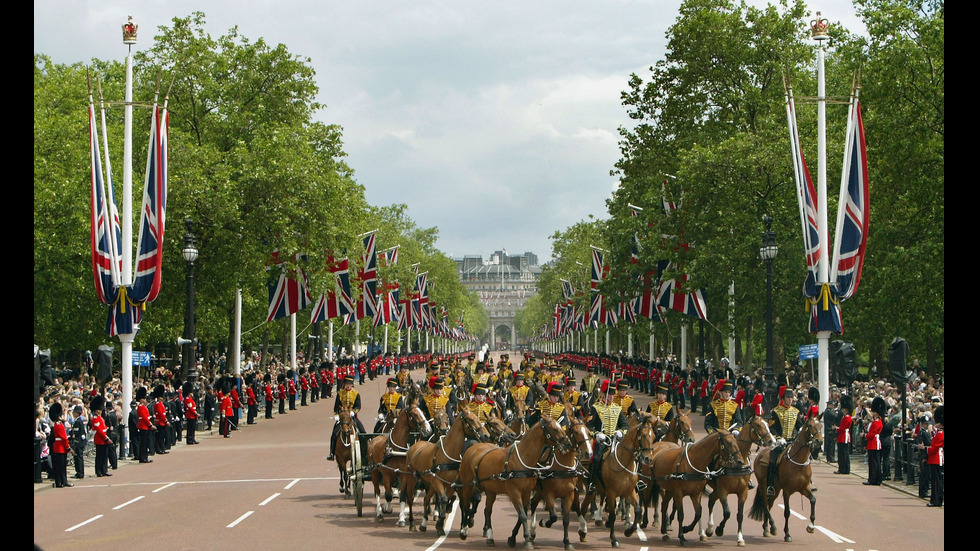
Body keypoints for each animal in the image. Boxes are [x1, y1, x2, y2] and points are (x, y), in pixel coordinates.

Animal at [464, 418, 572, 548]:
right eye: (555, 429)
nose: (568, 444)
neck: (522, 460)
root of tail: (474, 447)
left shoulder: (527, 492)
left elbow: (523, 514)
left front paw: (517, 538)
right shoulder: (514, 492)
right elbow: (523, 515)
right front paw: (526, 540)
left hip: (490, 490)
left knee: (487, 510)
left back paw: (489, 536)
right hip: (469, 486)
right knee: (466, 504)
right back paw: (464, 529)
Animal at [580, 410, 660, 548]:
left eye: (654, 436)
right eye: (643, 435)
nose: (648, 459)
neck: (624, 464)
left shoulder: (629, 492)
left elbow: (638, 509)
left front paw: (629, 531)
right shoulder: (612, 493)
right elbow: (612, 515)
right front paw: (614, 539)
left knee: (585, 507)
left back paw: (583, 532)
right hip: (592, 488)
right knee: (584, 507)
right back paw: (583, 530)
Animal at [704, 418, 772, 548]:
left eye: (766, 423)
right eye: (758, 425)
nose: (771, 440)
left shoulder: (742, 492)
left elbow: (739, 515)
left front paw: (740, 538)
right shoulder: (723, 491)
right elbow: (727, 513)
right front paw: (719, 530)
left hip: (716, 490)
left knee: (711, 499)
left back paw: (709, 529)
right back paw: (706, 531)